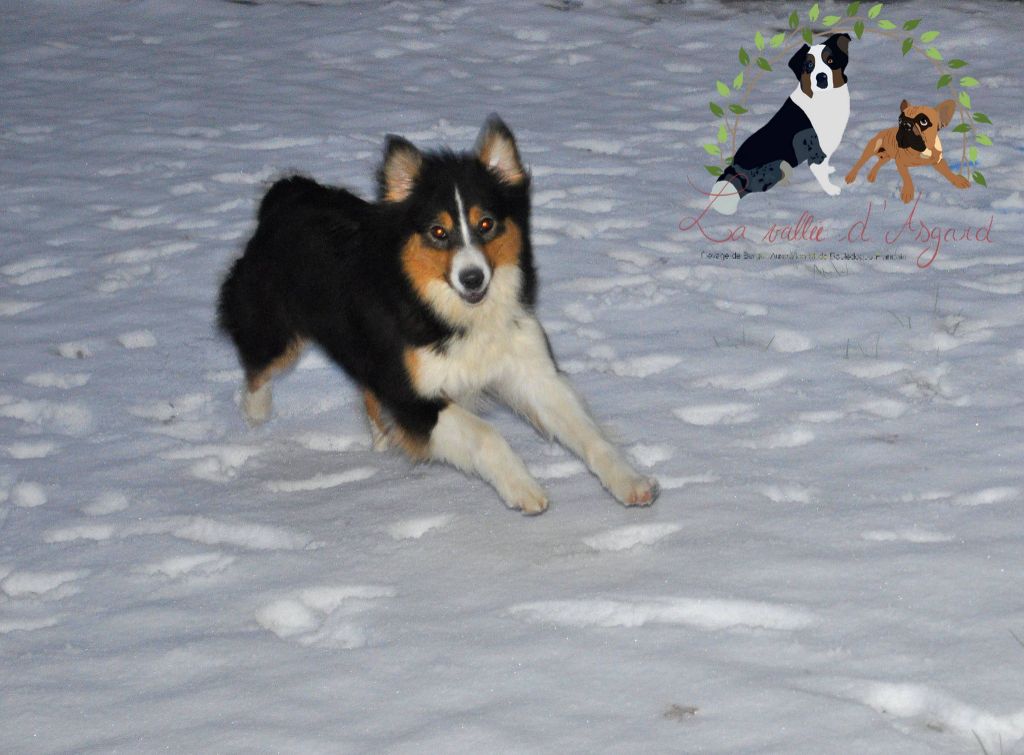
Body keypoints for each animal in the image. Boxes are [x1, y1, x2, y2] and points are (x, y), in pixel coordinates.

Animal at [220, 116, 659, 512]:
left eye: (487, 224)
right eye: (437, 232)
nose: (472, 277)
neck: (454, 313)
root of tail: (287, 192)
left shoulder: (532, 371)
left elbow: (588, 432)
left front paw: (629, 481)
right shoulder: (412, 396)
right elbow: (486, 435)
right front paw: (523, 488)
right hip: (275, 330)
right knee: (259, 366)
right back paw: (256, 414)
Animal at [708, 33, 851, 213]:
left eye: (830, 60)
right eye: (809, 65)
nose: (821, 77)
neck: (825, 98)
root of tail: (733, 169)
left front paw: (830, 169)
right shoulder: (815, 148)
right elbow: (819, 170)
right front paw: (832, 190)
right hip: (778, 165)